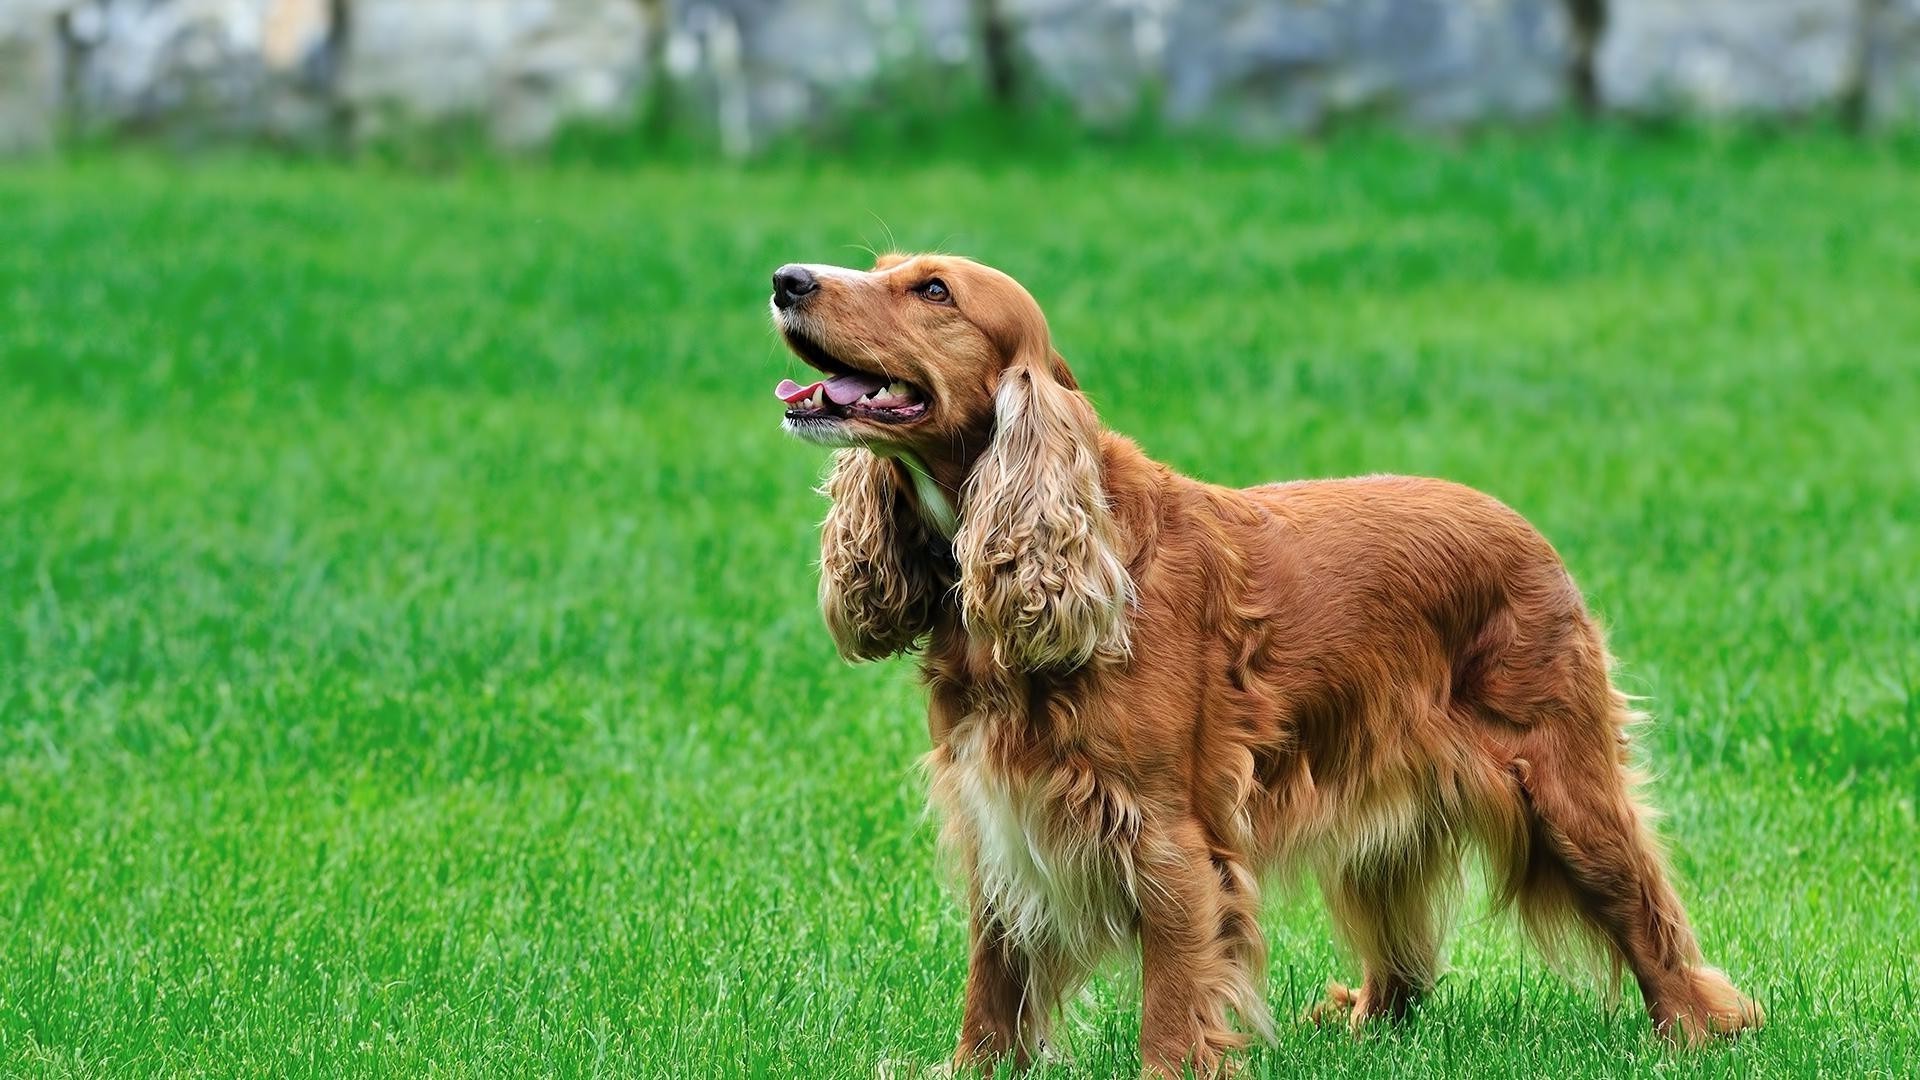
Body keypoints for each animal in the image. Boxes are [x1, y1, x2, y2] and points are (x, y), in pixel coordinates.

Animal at [764, 249, 1758, 1068]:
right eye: (878, 267)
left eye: (932, 290)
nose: (786, 279)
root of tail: (1527, 529)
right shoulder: (1000, 815)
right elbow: (994, 979)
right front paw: (977, 1068)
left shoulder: (1166, 832)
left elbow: (1172, 995)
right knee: (1404, 959)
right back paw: (1363, 1020)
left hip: (1562, 783)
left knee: (1650, 917)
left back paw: (1697, 1032)